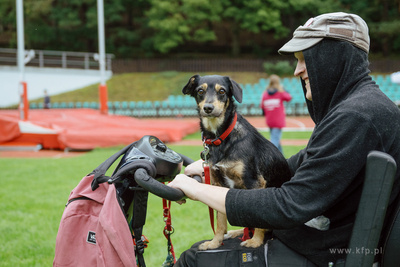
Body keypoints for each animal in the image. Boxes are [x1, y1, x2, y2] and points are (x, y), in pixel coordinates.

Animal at [183, 75, 292, 251]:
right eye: (200, 91)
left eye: (222, 91)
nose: (208, 108)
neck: (220, 138)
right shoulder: (219, 184)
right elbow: (220, 221)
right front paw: (215, 242)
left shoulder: (254, 182)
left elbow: (258, 218)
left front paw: (255, 242)